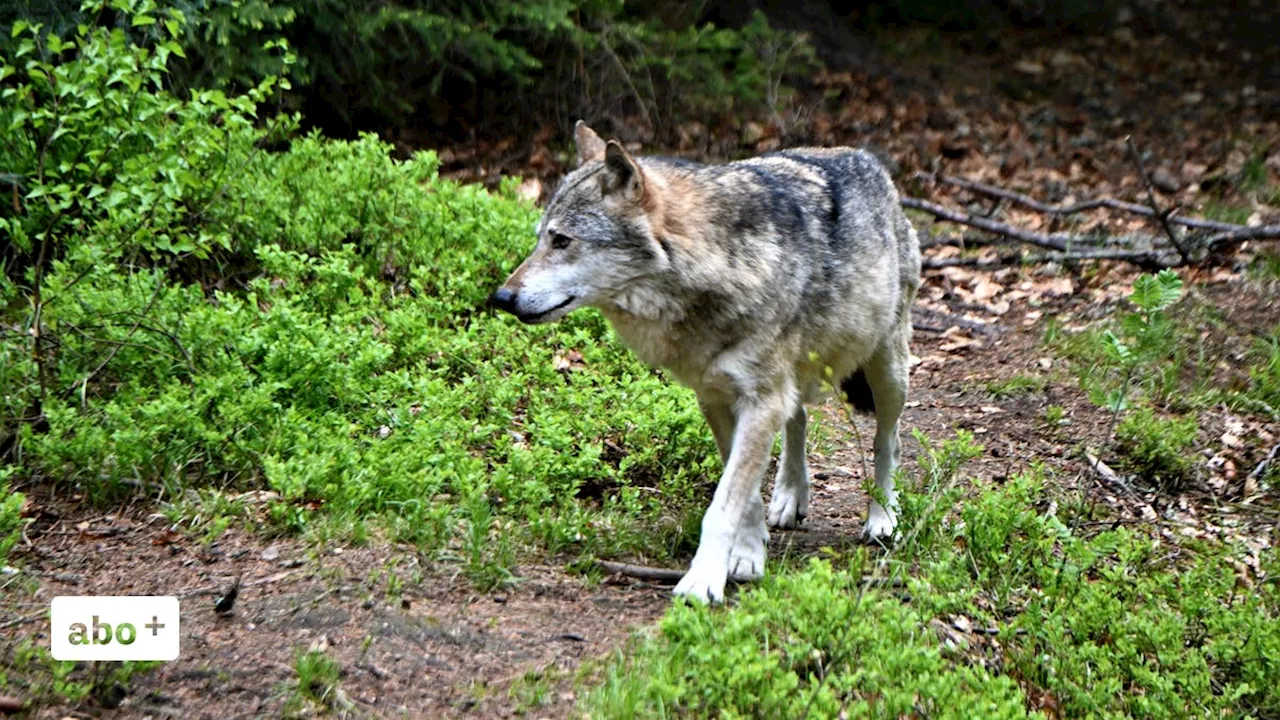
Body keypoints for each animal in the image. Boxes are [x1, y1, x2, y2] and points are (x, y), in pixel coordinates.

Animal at [488, 121, 921, 599]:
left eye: (562, 240)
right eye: (540, 239)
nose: (501, 298)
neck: (716, 266)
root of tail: (863, 156)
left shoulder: (759, 402)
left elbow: (724, 504)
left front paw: (703, 581)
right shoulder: (714, 398)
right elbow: (744, 498)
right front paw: (747, 556)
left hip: (887, 373)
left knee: (887, 441)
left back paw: (883, 518)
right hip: (799, 377)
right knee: (800, 419)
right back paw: (791, 496)